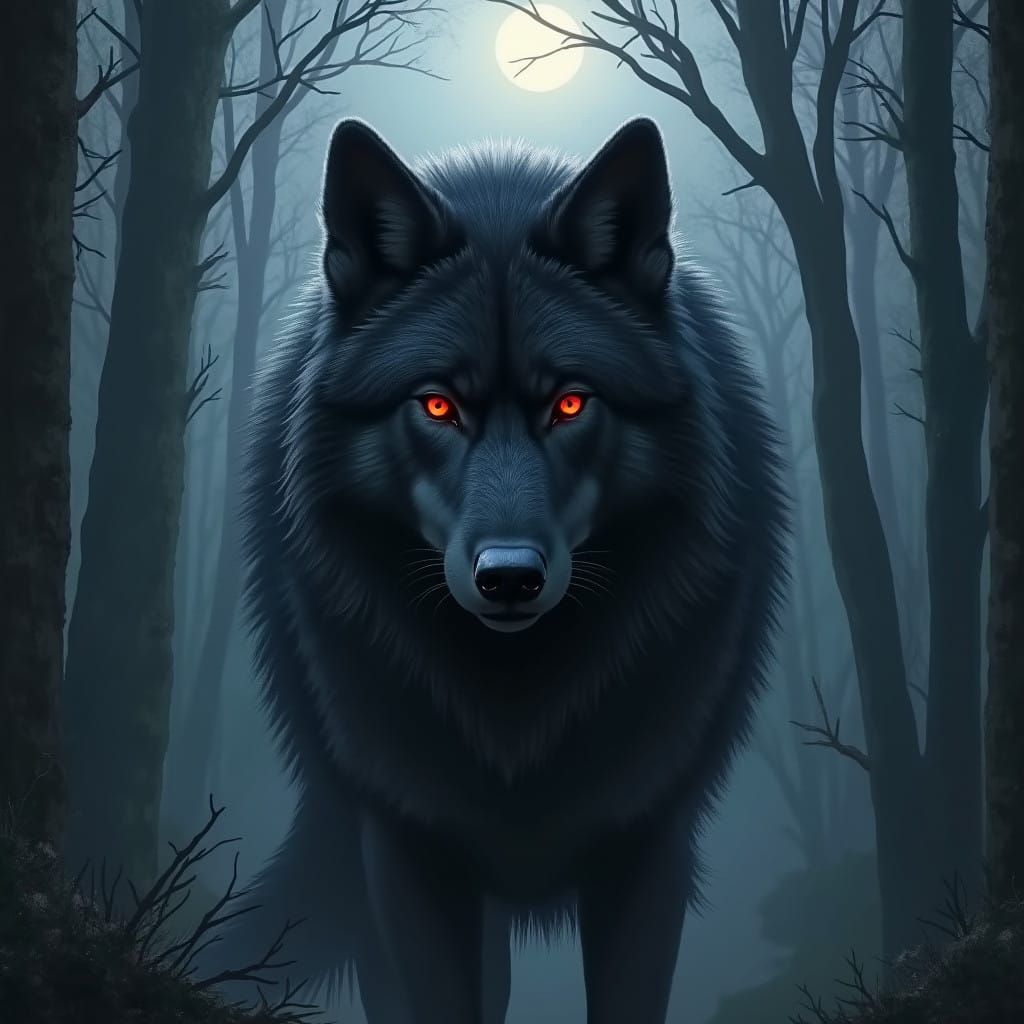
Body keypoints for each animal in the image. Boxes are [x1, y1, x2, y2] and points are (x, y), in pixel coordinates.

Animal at [225, 116, 788, 1024]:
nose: (510, 578)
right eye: (437, 404)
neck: (516, 703)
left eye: (570, 402)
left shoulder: (648, 844)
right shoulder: (408, 850)